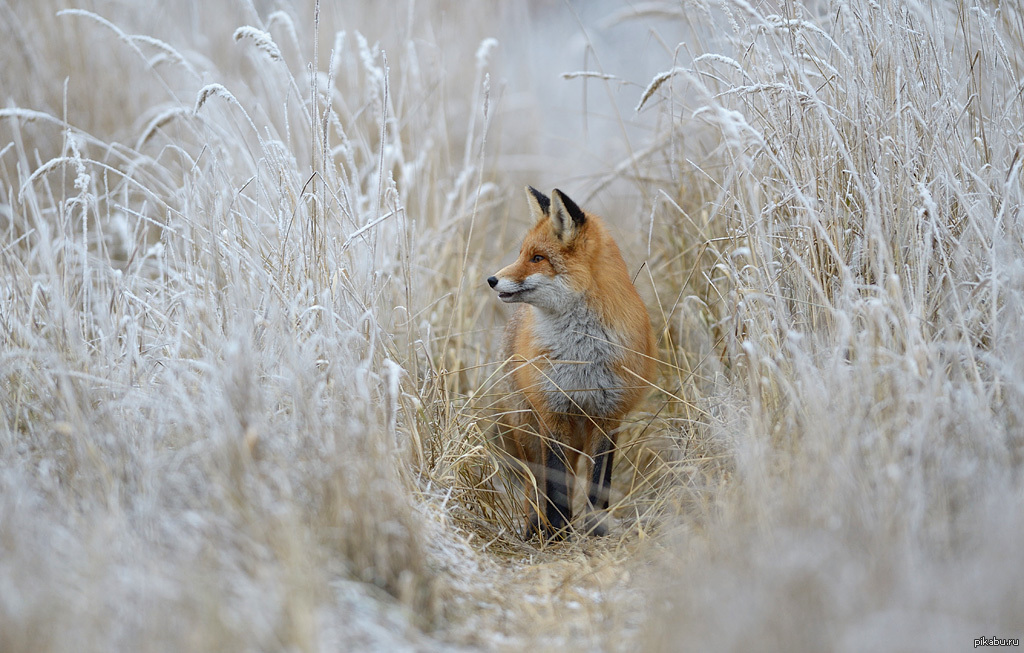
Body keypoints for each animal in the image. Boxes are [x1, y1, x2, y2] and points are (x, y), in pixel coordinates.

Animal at [487, 186, 655, 540]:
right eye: (521, 254)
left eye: (537, 258)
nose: (491, 280)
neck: (581, 354)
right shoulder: (553, 411)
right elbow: (556, 484)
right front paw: (557, 531)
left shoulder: (608, 416)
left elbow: (599, 482)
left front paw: (595, 527)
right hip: (527, 429)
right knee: (534, 485)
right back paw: (534, 528)